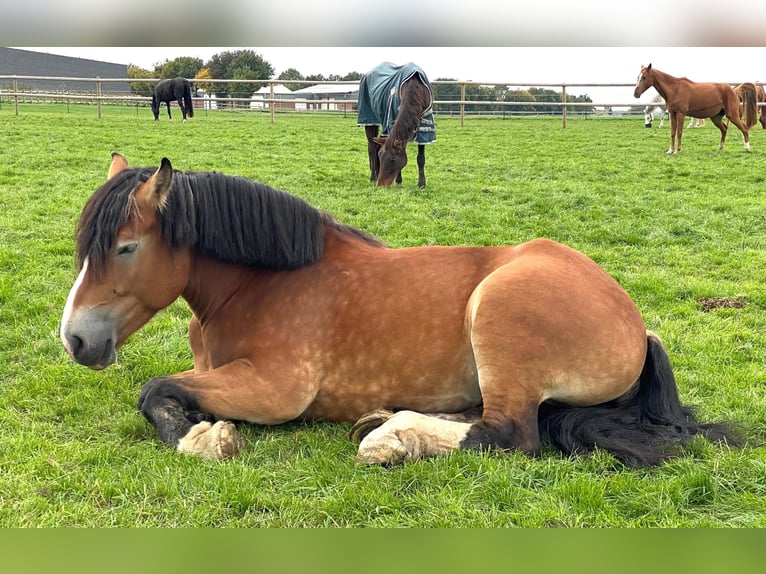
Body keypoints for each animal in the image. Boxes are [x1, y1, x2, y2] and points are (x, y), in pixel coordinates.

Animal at [59, 153, 739, 467]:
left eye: (124, 246)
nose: (75, 340)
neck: (260, 285)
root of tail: (637, 327)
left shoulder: (275, 390)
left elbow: (153, 388)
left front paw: (205, 436)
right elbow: (165, 388)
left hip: (499, 313)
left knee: (507, 433)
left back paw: (392, 437)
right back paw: (385, 419)